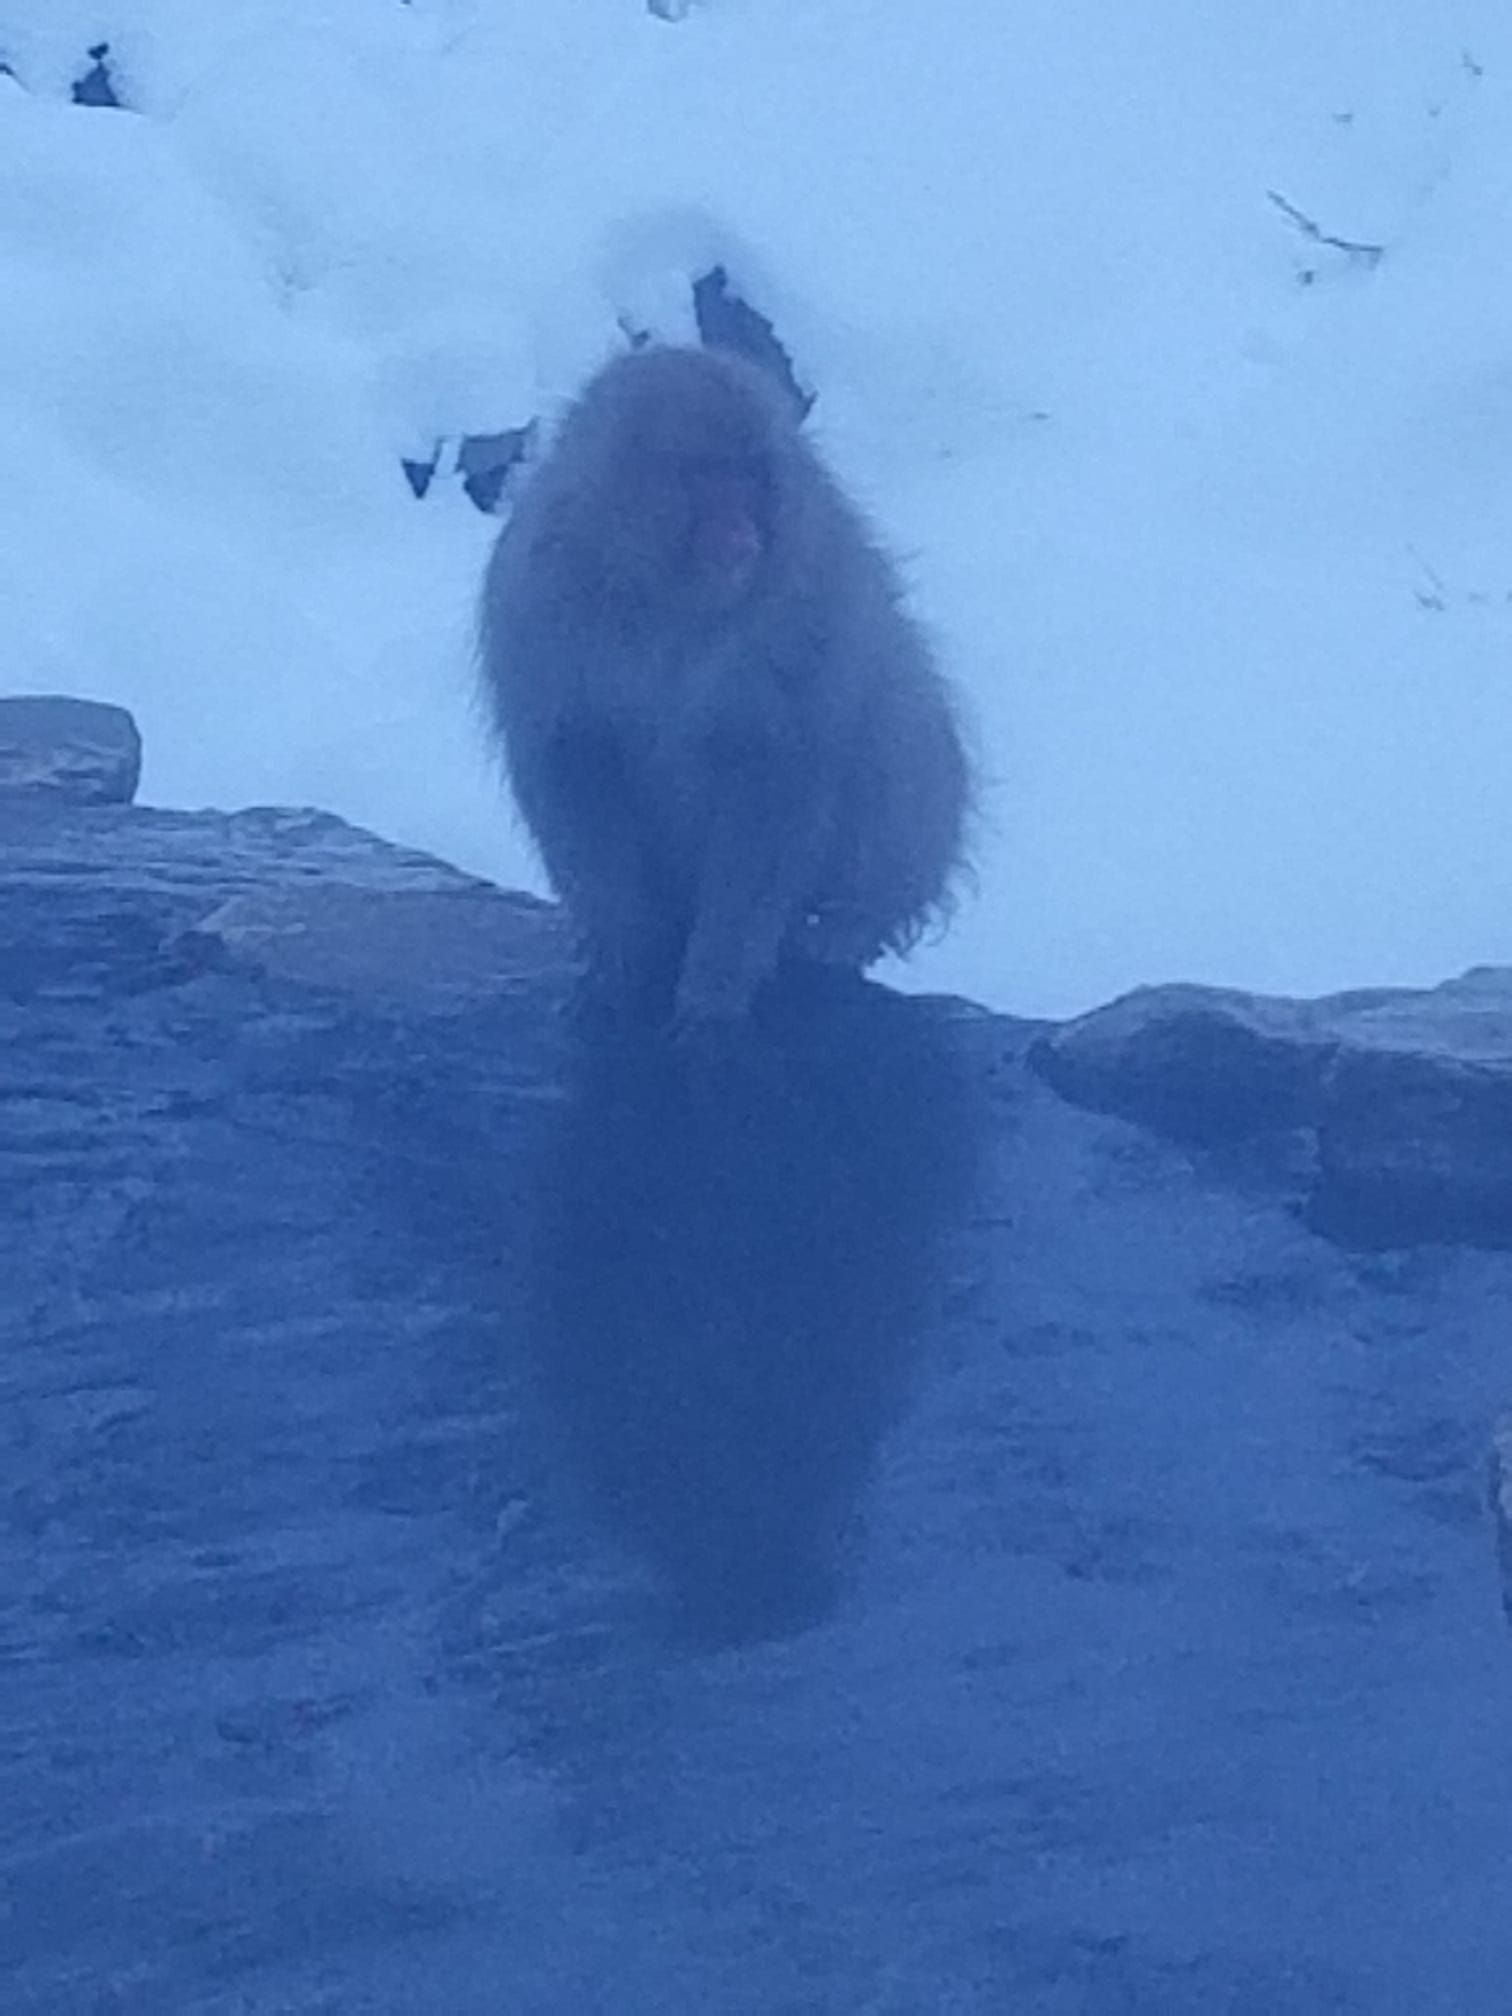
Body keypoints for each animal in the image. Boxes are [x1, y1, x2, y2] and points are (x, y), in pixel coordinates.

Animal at [478, 342, 971, 1034]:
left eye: (753, 476)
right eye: (706, 474)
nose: (743, 531)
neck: (669, 605)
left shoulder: (815, 596)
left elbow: (774, 779)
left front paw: (714, 989)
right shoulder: (537, 603)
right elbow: (576, 767)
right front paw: (623, 961)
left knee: (896, 722)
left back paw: (847, 926)